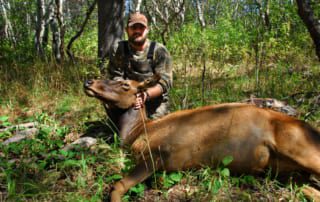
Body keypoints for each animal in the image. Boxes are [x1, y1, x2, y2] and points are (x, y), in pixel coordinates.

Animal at [83, 76, 320, 202]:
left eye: (125, 84)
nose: (89, 81)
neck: (135, 132)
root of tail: (313, 130)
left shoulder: (157, 154)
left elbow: (119, 185)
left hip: (301, 150)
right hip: (288, 174)